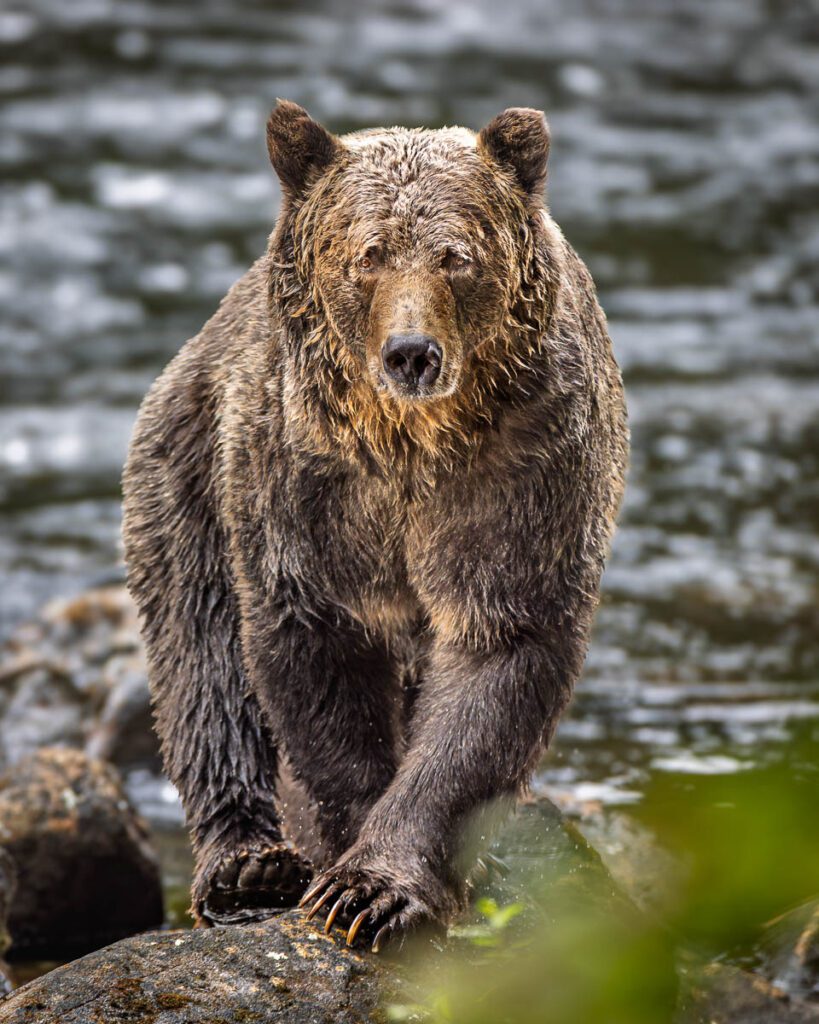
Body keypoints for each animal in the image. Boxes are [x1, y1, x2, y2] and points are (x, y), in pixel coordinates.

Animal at [122, 100, 628, 952]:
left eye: (455, 256)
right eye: (367, 254)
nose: (410, 353)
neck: (408, 445)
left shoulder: (526, 475)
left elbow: (496, 662)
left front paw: (377, 887)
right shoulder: (301, 485)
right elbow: (314, 663)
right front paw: (342, 868)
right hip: (184, 462)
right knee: (201, 653)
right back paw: (245, 863)